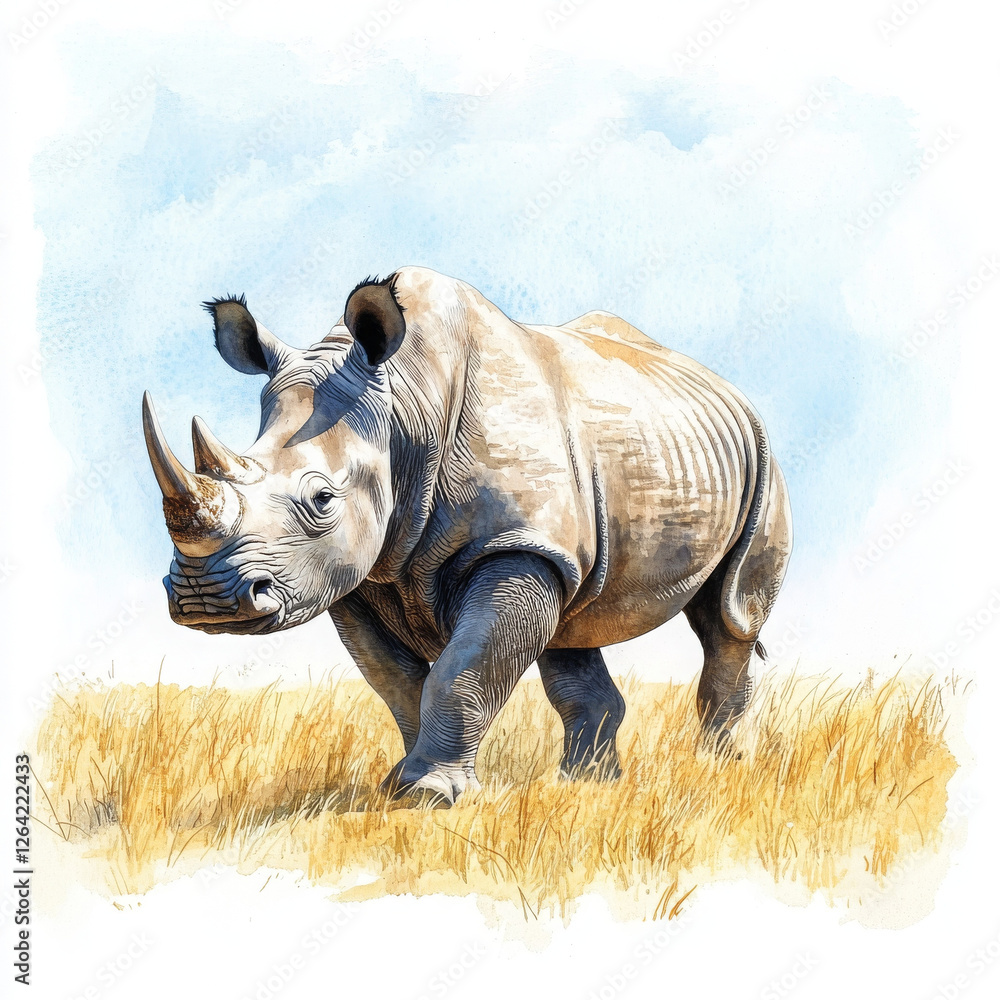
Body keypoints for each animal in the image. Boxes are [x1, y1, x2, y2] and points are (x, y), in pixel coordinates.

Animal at [142, 266, 792, 804]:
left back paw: (723, 770)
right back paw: (585, 786)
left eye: (321, 499)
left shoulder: (510, 544)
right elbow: (397, 680)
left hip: (762, 459)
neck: (405, 409)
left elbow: (464, 669)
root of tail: (724, 385)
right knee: (573, 624)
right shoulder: (357, 573)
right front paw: (397, 786)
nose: (206, 599)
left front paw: (429, 795)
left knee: (730, 614)